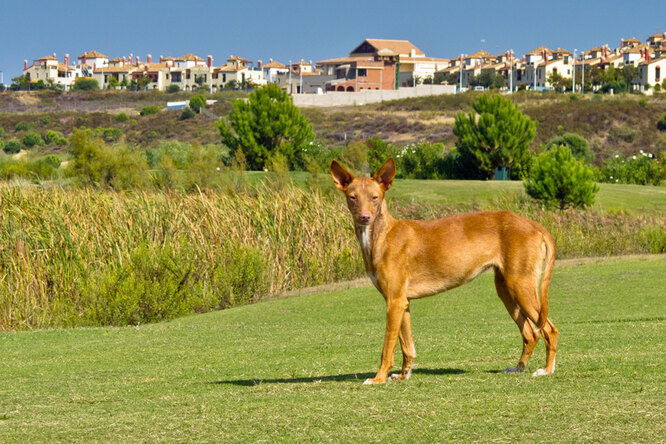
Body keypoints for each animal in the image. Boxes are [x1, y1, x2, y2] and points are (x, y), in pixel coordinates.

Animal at [330, 158, 556, 384]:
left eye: (375, 197)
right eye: (352, 197)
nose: (364, 217)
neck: (383, 236)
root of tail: (533, 224)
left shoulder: (394, 301)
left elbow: (388, 347)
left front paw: (378, 378)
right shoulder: (402, 302)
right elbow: (407, 346)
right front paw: (404, 375)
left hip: (520, 286)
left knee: (550, 330)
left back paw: (547, 370)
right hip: (506, 290)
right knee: (531, 334)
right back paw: (518, 368)